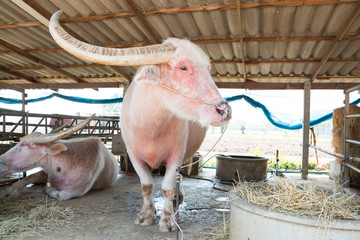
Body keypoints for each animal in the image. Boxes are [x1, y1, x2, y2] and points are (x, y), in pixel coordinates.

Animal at [48, 10, 231, 232]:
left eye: (208, 68)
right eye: (183, 67)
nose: (224, 110)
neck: (151, 127)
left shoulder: (176, 154)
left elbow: (168, 187)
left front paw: (168, 219)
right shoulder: (133, 154)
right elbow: (146, 185)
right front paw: (146, 214)